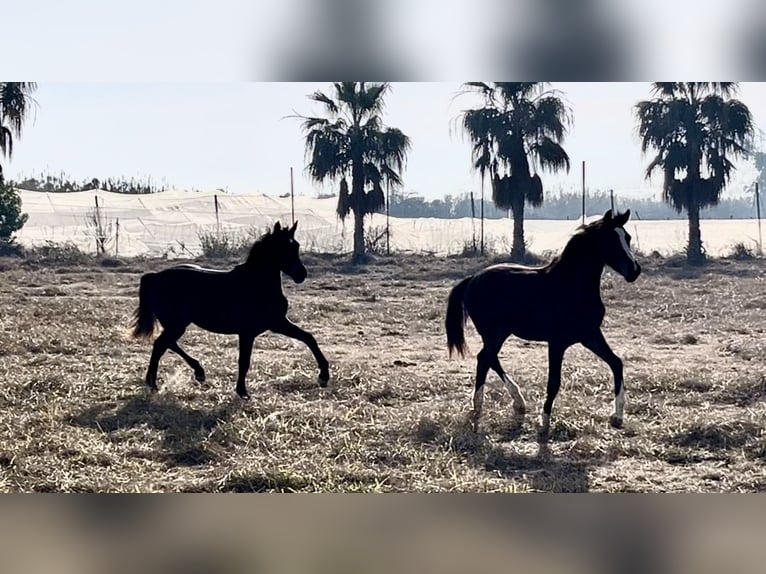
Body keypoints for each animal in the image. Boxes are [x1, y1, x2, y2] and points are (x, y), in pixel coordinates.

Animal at [130, 220, 332, 400]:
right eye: (282, 248)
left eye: (295, 246)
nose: (301, 274)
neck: (256, 285)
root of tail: (155, 277)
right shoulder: (248, 332)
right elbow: (244, 361)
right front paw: (243, 392)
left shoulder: (277, 323)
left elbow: (309, 338)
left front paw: (323, 377)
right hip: (177, 324)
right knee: (161, 345)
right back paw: (156, 383)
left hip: (177, 324)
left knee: (166, 343)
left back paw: (195, 373)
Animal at [448, 212, 644, 436]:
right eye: (611, 239)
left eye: (627, 237)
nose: (634, 271)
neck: (571, 286)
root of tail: (472, 279)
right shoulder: (557, 342)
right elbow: (553, 382)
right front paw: (544, 422)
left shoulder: (590, 335)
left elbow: (616, 363)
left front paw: (617, 417)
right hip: (494, 333)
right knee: (484, 359)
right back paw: (478, 407)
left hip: (498, 333)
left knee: (490, 359)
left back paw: (518, 402)